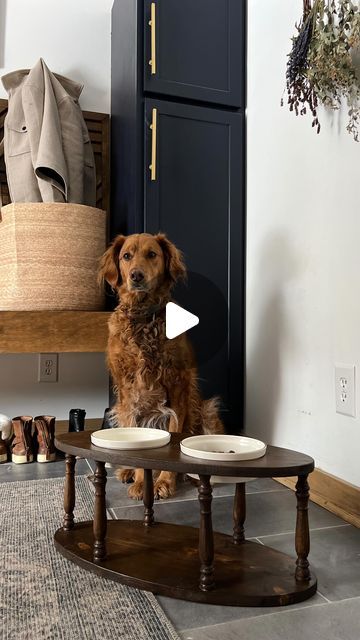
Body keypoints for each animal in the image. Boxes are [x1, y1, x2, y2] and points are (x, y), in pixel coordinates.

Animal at [98, 234, 222, 500]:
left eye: (152, 254)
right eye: (126, 256)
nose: (136, 275)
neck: (144, 317)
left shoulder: (178, 388)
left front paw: (164, 482)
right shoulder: (128, 393)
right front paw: (139, 481)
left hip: (206, 409)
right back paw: (128, 472)